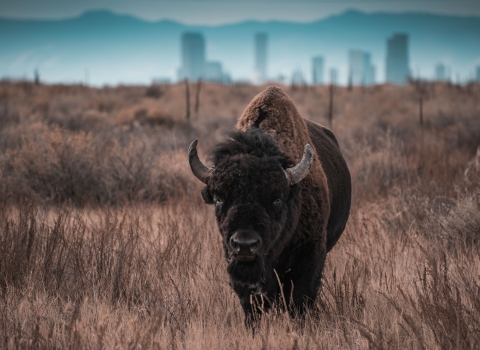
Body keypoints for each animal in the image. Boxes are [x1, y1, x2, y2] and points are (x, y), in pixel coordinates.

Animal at [188, 87, 352, 322]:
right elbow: (252, 302)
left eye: (277, 199)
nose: (245, 244)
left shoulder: (310, 253)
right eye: (219, 198)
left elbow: (300, 298)